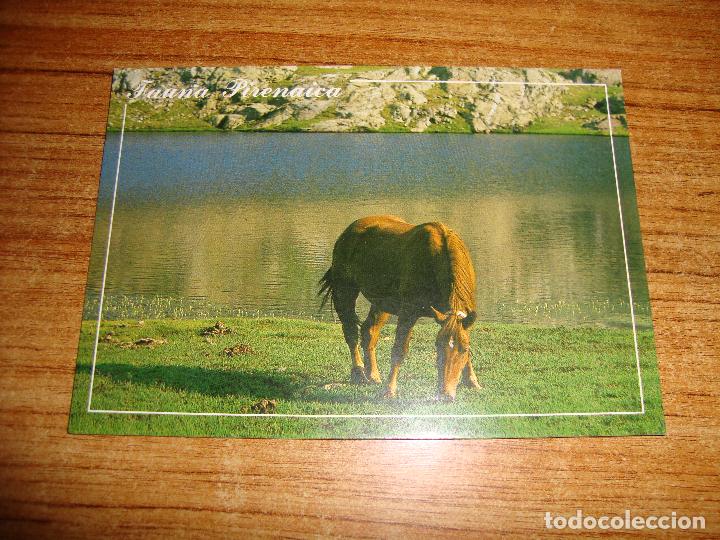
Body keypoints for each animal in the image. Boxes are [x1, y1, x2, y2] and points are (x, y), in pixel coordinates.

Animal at [319, 215, 481, 401]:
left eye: (463, 349)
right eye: (438, 346)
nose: (446, 395)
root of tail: (348, 231)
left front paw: (472, 381)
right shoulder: (408, 312)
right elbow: (399, 350)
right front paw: (390, 390)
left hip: (382, 302)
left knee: (368, 331)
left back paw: (373, 374)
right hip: (344, 290)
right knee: (351, 332)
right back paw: (359, 373)